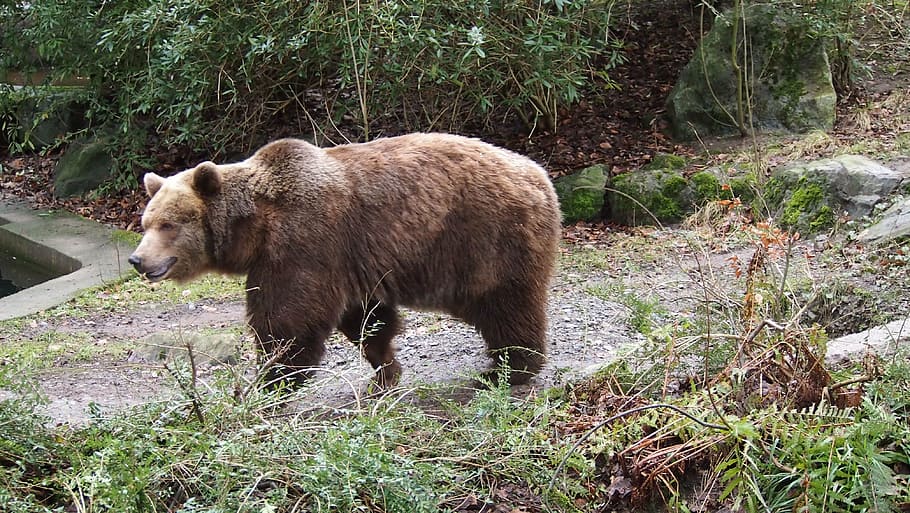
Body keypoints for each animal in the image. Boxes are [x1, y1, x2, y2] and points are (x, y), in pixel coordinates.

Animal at [128, 132, 564, 388]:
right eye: (145, 222)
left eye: (168, 224)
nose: (137, 259)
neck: (255, 227)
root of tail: (540, 174)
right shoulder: (350, 261)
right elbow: (367, 320)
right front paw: (385, 371)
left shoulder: (305, 241)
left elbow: (287, 320)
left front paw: (271, 381)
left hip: (487, 236)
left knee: (505, 304)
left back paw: (508, 369)